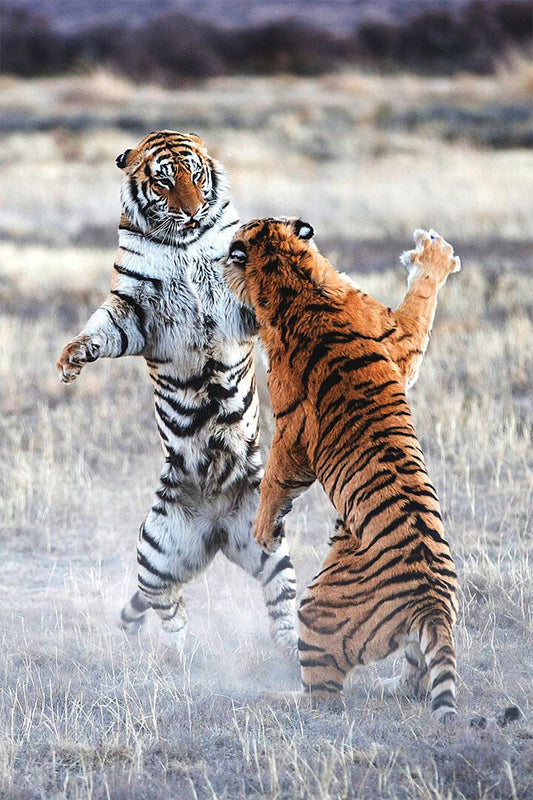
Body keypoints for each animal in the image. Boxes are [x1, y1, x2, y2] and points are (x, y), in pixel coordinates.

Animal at [56, 131, 298, 659]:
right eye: (165, 181)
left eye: (195, 175)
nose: (188, 212)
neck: (182, 242)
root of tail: (218, 528)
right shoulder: (134, 312)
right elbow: (101, 330)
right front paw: (72, 358)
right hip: (157, 549)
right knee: (165, 603)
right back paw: (179, 656)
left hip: (269, 542)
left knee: (282, 599)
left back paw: (292, 651)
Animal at [223, 219, 460, 719]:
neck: (295, 278)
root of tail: (431, 604)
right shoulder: (399, 343)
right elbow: (420, 305)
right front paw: (435, 256)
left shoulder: (292, 429)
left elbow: (274, 479)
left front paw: (262, 529)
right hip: (428, 629)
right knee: (417, 672)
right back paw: (393, 685)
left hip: (316, 608)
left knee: (324, 696)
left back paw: (276, 698)